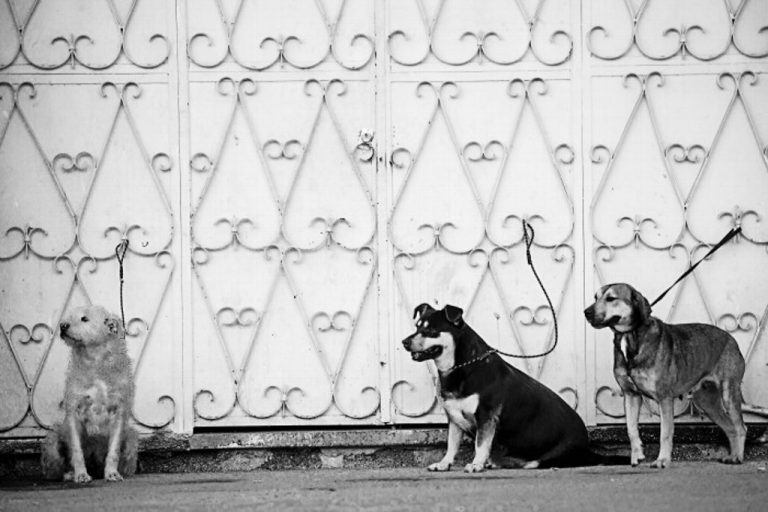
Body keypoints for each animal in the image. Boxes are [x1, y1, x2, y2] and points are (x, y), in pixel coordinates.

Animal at [40, 306, 137, 482]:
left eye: (85, 319)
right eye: (69, 317)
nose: (63, 326)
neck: (95, 361)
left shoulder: (119, 412)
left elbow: (113, 451)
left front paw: (112, 473)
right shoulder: (74, 413)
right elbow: (76, 450)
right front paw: (81, 475)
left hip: (131, 438)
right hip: (52, 441)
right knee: (56, 470)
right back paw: (70, 474)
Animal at [402, 304, 616, 472]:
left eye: (431, 330)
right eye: (417, 327)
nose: (404, 342)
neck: (460, 366)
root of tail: (588, 450)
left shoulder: (486, 416)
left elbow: (481, 444)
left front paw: (476, 464)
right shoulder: (454, 418)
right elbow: (451, 445)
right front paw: (444, 463)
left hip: (552, 456)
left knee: (535, 463)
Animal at [588, 284, 744, 468]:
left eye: (611, 298)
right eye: (595, 297)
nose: (586, 312)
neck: (632, 337)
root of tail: (732, 340)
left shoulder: (664, 398)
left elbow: (665, 433)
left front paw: (662, 460)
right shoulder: (631, 395)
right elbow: (631, 429)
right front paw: (637, 455)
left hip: (728, 393)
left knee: (740, 427)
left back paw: (738, 457)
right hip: (706, 401)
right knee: (730, 428)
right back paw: (732, 456)